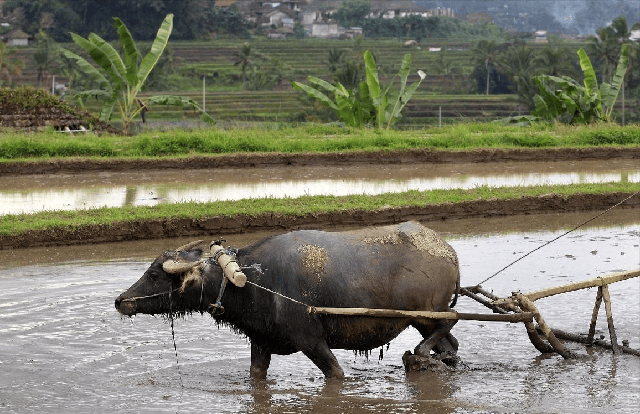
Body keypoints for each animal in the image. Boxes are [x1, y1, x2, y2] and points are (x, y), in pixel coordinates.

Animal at [115, 222, 460, 380]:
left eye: (155, 274)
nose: (121, 301)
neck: (255, 281)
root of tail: (448, 251)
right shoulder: (260, 342)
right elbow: (256, 375)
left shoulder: (312, 341)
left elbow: (336, 374)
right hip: (422, 319)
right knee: (450, 343)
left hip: (428, 313)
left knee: (449, 325)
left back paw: (420, 354)